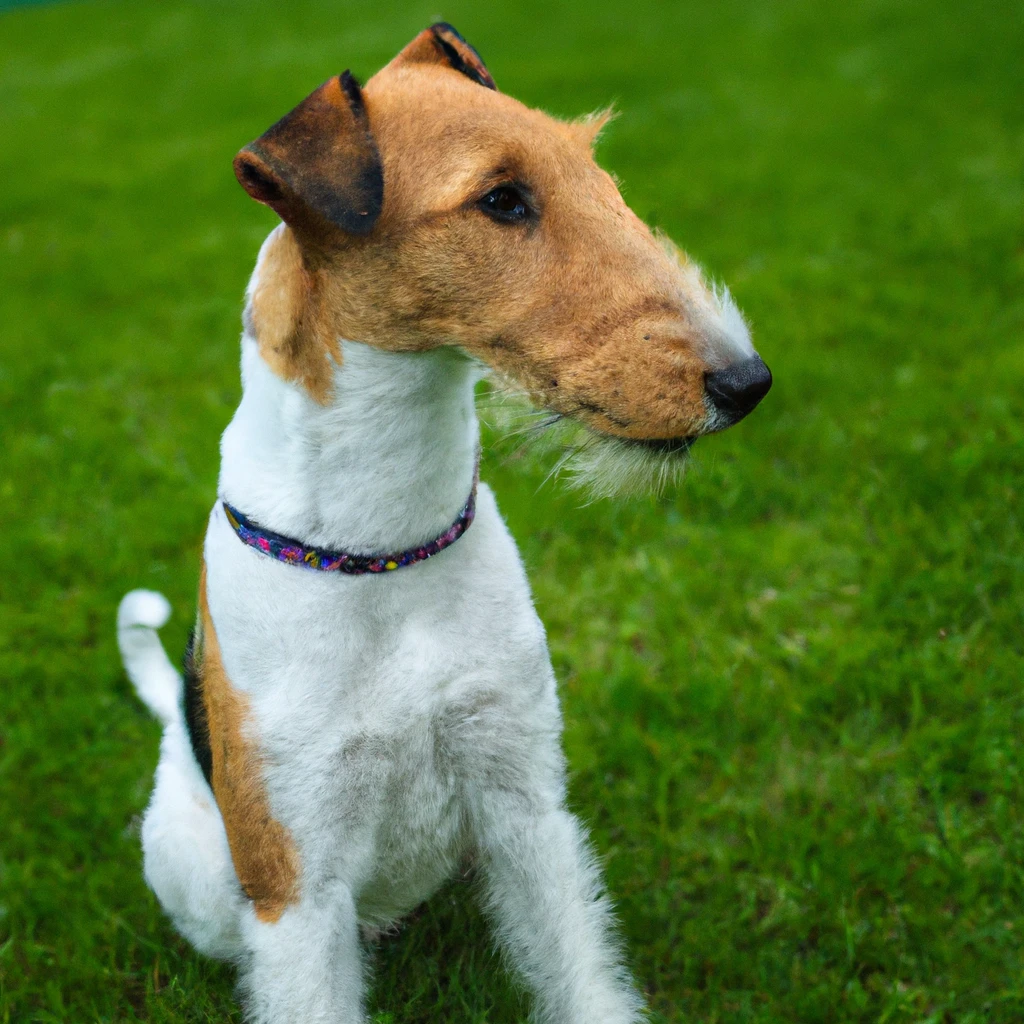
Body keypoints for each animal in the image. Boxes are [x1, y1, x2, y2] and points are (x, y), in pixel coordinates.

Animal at [116, 24, 770, 1024]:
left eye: (596, 170)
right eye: (501, 200)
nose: (746, 380)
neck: (385, 548)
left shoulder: (524, 804)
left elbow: (579, 972)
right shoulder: (298, 885)